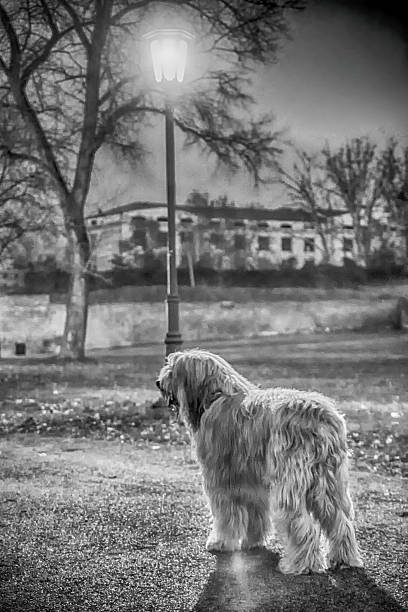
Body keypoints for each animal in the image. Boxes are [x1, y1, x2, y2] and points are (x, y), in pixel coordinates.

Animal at [156, 350, 364, 572]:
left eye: (172, 369)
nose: (158, 382)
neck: (217, 395)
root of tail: (318, 417)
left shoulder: (220, 480)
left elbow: (225, 516)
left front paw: (221, 542)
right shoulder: (252, 481)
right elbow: (256, 513)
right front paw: (253, 542)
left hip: (291, 482)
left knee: (302, 524)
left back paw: (301, 565)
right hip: (330, 480)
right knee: (341, 521)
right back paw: (344, 559)